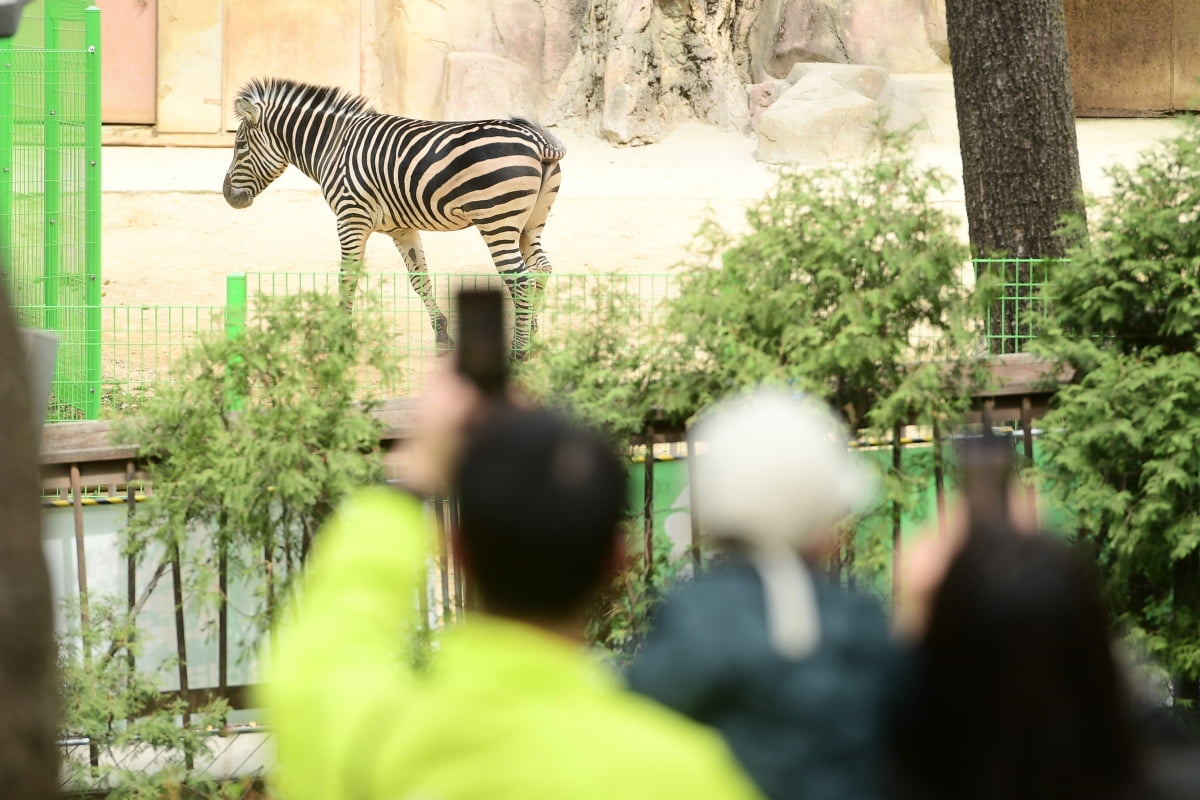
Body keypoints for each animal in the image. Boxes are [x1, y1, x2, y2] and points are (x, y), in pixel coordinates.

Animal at [222, 77, 566, 359]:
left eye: (239, 145)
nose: (226, 195)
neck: (333, 146)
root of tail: (537, 141)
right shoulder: (402, 228)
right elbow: (420, 280)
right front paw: (442, 335)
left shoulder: (351, 219)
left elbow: (348, 278)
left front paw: (341, 337)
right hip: (529, 226)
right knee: (541, 268)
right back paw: (531, 332)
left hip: (498, 222)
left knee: (521, 278)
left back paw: (519, 351)